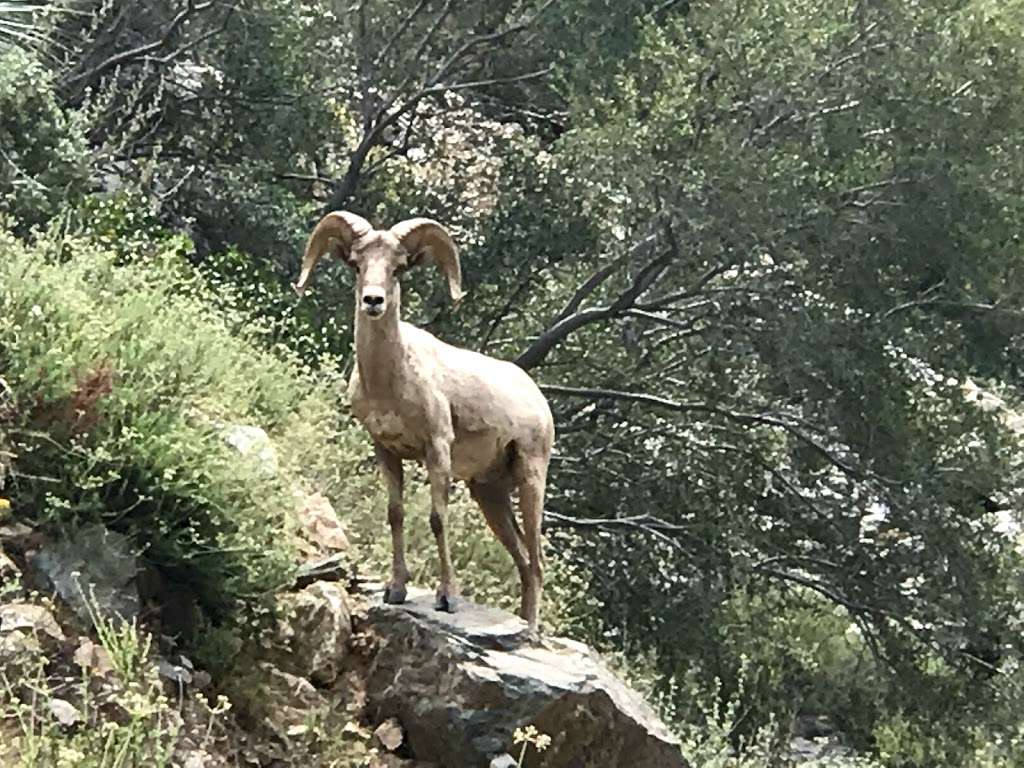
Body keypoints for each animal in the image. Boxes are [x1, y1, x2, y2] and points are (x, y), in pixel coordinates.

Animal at [292, 210, 557, 630]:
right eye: (356, 264)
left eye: (398, 268)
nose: (373, 300)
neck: (391, 380)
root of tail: (538, 400)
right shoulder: (386, 450)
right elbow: (395, 514)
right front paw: (396, 589)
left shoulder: (437, 448)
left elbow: (437, 518)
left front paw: (447, 598)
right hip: (489, 493)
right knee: (522, 559)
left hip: (531, 477)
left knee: (536, 559)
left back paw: (530, 630)